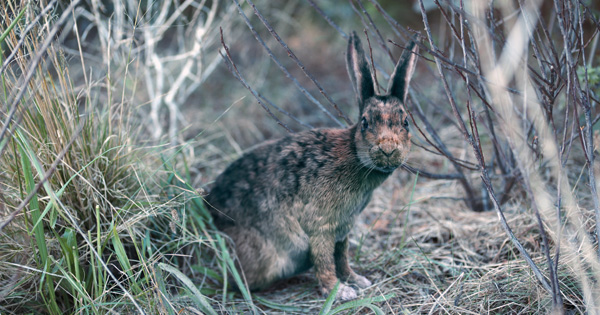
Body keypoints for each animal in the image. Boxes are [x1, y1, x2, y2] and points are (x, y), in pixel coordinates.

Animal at [205, 31, 418, 302]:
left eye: (406, 122)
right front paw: (340, 291)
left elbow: (342, 258)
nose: (388, 149)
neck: (355, 157)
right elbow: (325, 261)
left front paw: (356, 280)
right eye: (365, 123)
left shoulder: (342, 231)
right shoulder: (322, 228)